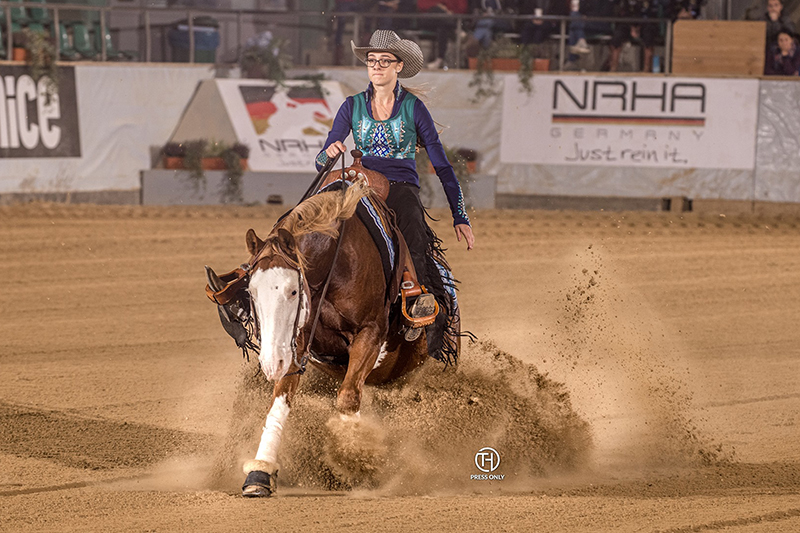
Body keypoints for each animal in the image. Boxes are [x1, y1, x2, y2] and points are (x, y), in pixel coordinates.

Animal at [212, 178, 454, 494]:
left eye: (293, 290)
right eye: (251, 291)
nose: (271, 363)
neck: (333, 267)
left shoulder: (370, 334)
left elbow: (348, 397)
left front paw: (356, 461)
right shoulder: (297, 343)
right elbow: (280, 399)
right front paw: (260, 471)